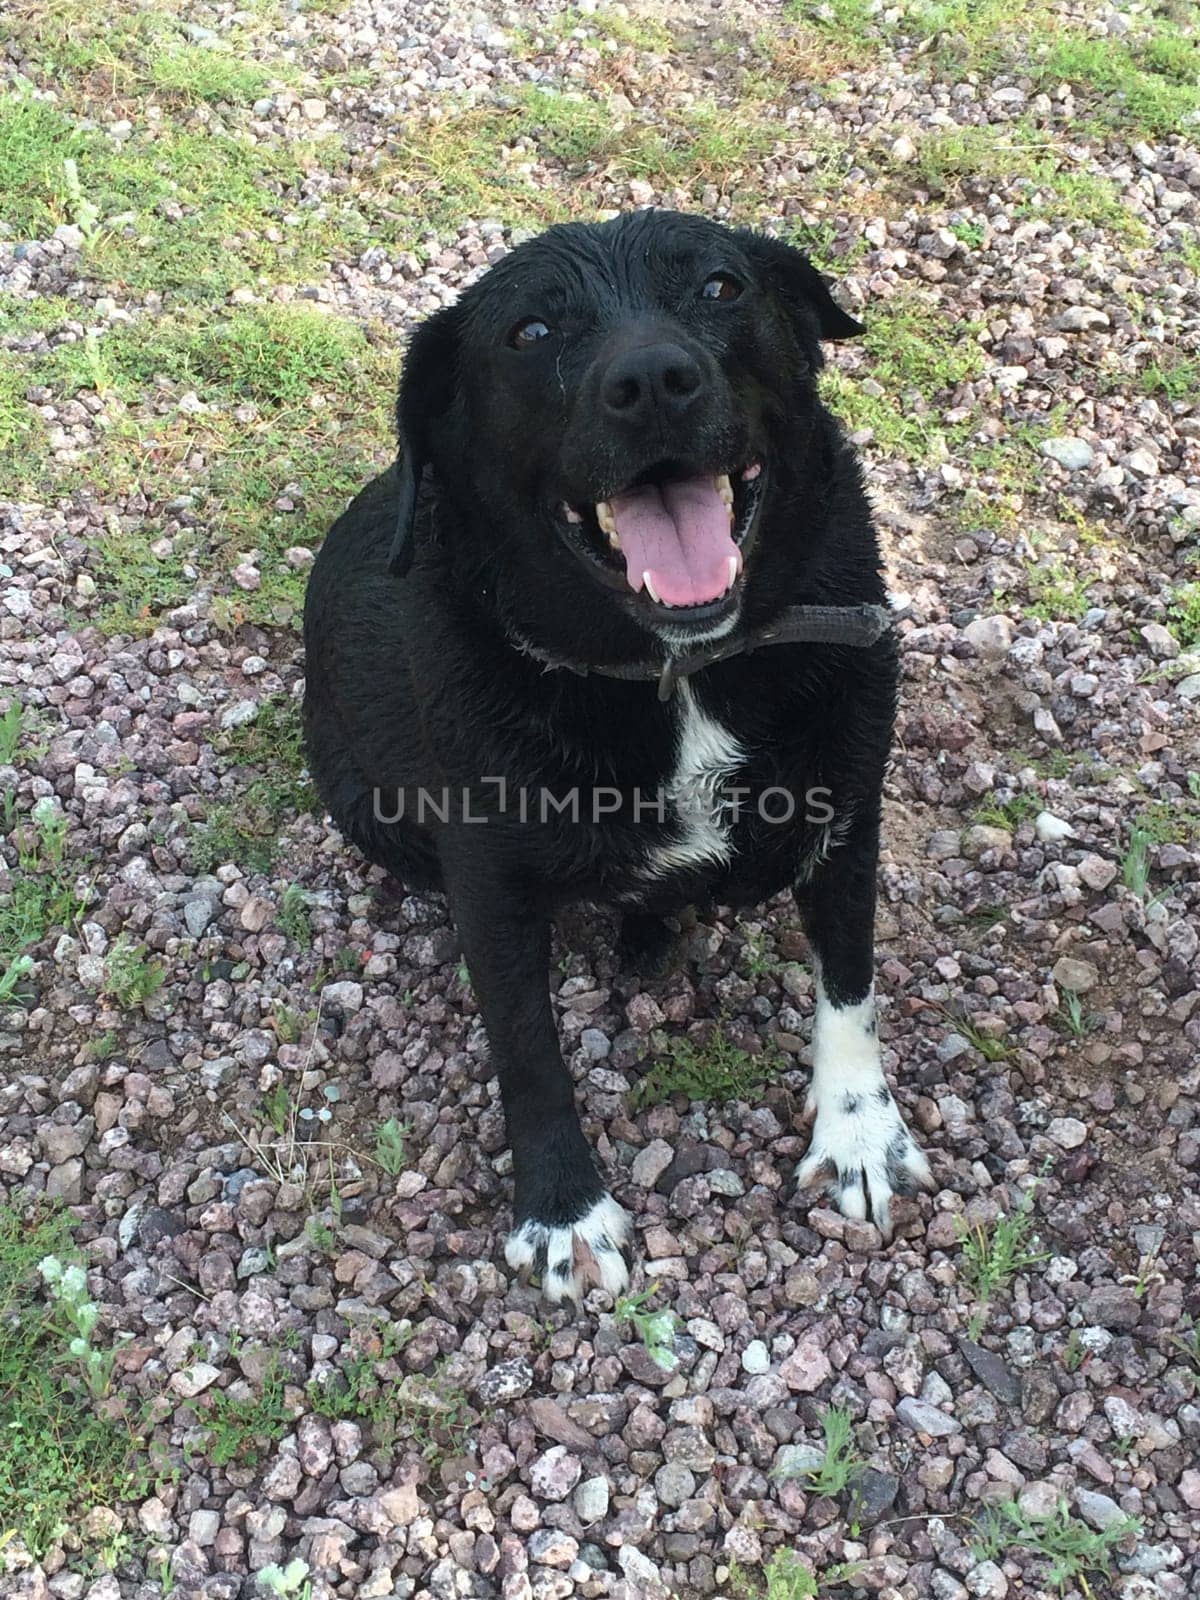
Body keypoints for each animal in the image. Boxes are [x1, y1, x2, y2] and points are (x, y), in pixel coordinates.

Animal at [302, 209, 940, 1299]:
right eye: (529, 333)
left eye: (722, 287)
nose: (651, 380)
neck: (675, 669)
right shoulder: (490, 879)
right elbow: (527, 1048)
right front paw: (563, 1207)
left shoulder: (849, 806)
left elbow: (850, 983)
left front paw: (859, 1133)